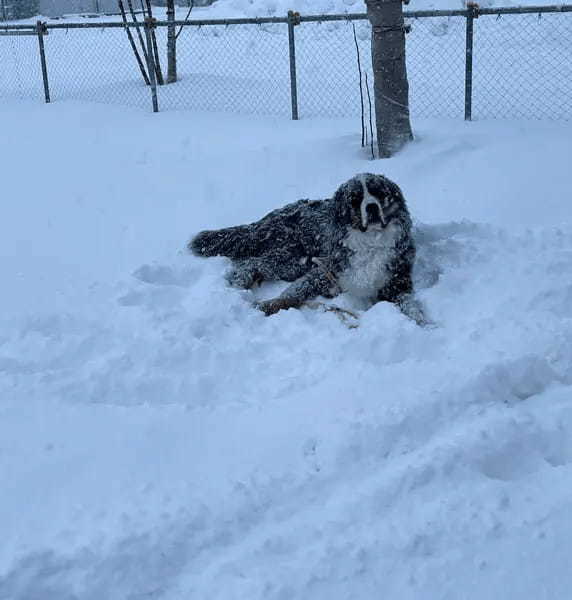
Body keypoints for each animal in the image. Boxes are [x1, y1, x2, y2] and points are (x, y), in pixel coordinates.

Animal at [190, 173, 418, 322]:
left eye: (379, 194)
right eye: (355, 200)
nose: (371, 207)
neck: (371, 241)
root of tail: (271, 216)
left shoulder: (397, 283)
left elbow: (410, 305)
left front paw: (421, 322)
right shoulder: (323, 272)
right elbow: (293, 293)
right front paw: (269, 304)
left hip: (294, 263)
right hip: (292, 258)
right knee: (251, 262)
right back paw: (240, 281)